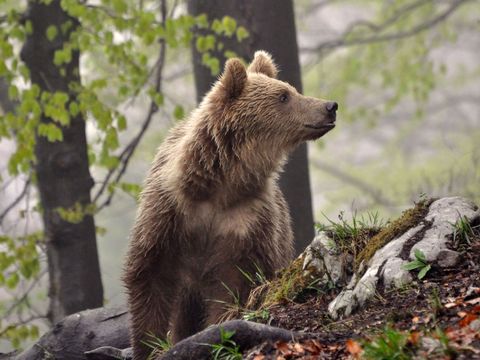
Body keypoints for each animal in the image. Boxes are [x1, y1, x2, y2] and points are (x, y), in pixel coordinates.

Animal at [122, 51, 336, 360]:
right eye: (284, 96)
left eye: (291, 90)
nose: (330, 106)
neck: (221, 183)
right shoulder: (169, 212)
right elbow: (150, 275)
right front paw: (150, 345)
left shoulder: (246, 222)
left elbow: (233, 283)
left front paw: (220, 329)